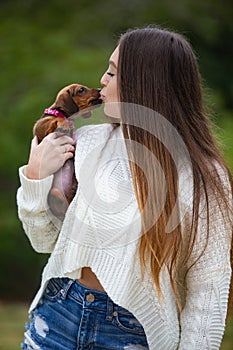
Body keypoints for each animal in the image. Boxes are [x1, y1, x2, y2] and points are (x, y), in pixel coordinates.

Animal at [33, 83, 102, 220]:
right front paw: (63, 124)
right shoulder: (41, 128)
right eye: (81, 90)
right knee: (65, 212)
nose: (100, 89)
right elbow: (53, 120)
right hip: (54, 193)